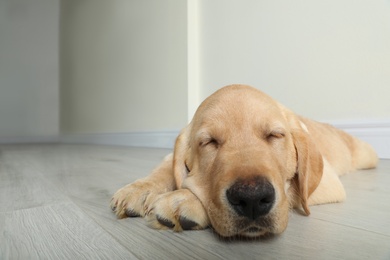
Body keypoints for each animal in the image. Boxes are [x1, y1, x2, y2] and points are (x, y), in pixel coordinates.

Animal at [110, 85, 378, 238]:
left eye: (275, 135)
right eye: (209, 142)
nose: (251, 200)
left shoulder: (327, 182)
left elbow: (291, 188)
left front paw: (185, 199)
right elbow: (166, 166)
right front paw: (141, 189)